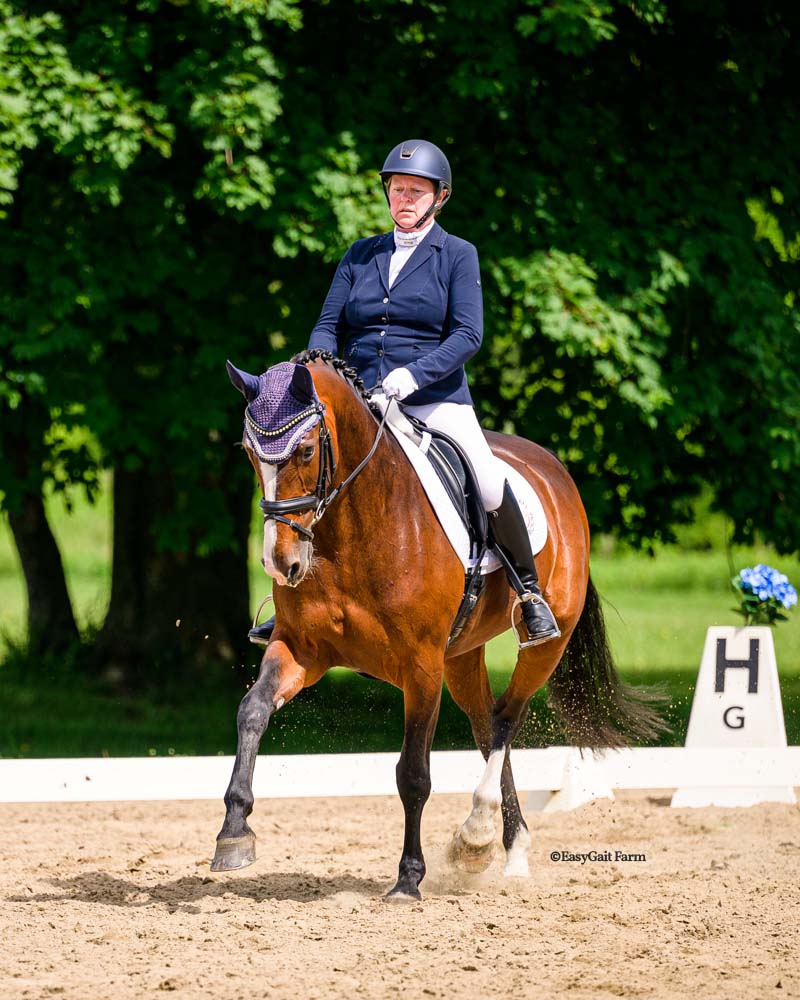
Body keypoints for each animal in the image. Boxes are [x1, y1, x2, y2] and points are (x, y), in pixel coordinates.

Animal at [212, 350, 664, 900]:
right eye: (250, 454)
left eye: (304, 451)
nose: (282, 564)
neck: (352, 528)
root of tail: (553, 469)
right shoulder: (302, 648)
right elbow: (252, 712)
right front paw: (234, 832)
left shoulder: (421, 666)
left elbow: (413, 774)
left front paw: (409, 878)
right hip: (462, 654)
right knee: (487, 726)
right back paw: (502, 848)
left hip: (542, 644)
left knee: (507, 719)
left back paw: (477, 833)